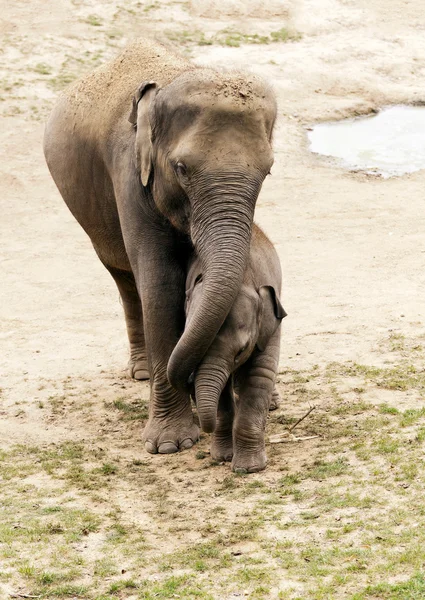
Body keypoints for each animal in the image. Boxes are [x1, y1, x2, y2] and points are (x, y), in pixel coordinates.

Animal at [43, 39, 274, 454]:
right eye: (181, 169)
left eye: (268, 170)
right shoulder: (130, 175)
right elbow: (160, 285)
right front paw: (169, 444)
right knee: (125, 279)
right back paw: (139, 372)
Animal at [186, 223, 284, 472]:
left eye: (240, 351)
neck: (245, 278)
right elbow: (219, 389)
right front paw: (223, 457)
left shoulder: (271, 325)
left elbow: (259, 376)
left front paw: (249, 469)